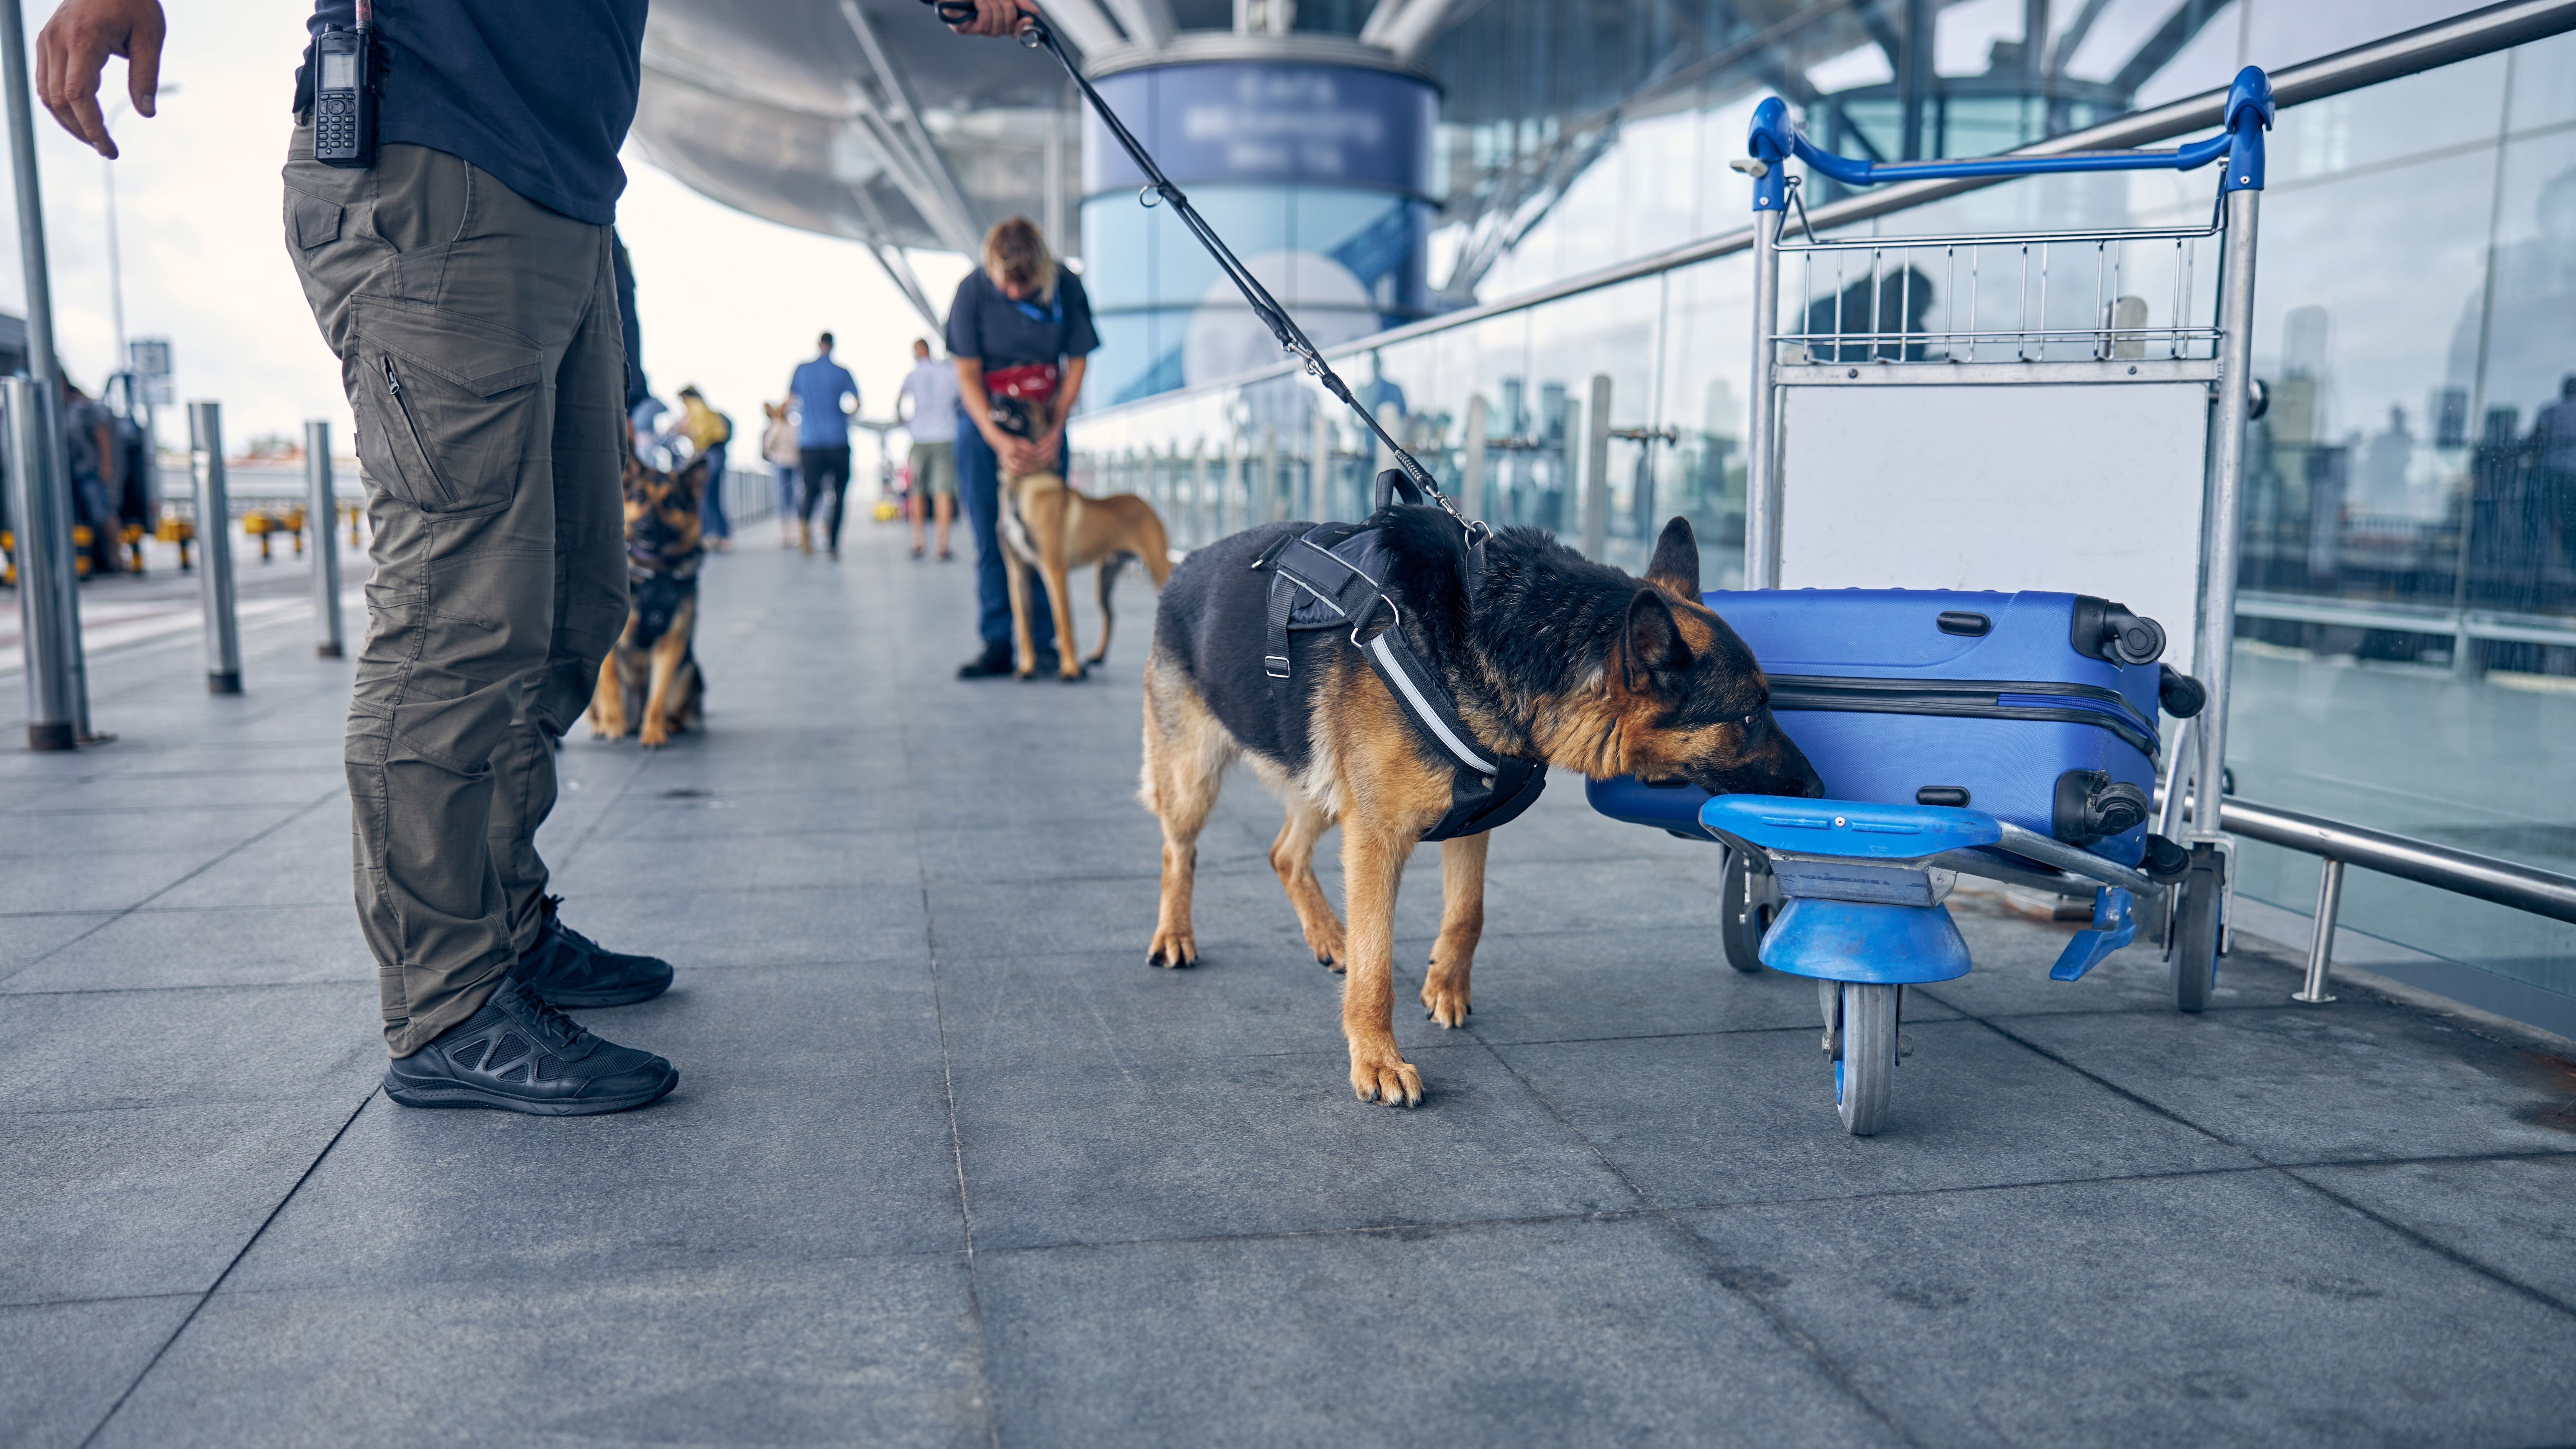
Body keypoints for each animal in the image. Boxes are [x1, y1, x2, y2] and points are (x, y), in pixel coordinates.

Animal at [585, 451, 706, 743]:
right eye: (639, 497)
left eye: (671, 501)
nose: (648, 528)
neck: (655, 574)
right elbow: (611, 681)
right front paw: (613, 723)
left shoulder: (671, 644)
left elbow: (658, 695)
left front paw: (653, 733)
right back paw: (602, 724)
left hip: (690, 671)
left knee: (677, 707)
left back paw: (669, 725)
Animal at [999, 469, 1175, 680]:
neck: (1022, 484)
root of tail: (1142, 501)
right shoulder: (1017, 574)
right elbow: (1023, 626)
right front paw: (1026, 667)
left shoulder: (1055, 570)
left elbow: (1064, 623)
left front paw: (1070, 670)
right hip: (1103, 582)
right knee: (1110, 615)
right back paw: (1098, 655)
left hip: (1158, 569)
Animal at [1138, 508, 1824, 1103]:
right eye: (1749, 716)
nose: (1818, 790)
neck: (1489, 635)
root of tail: (1187, 564)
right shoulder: (1376, 839)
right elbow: (1377, 966)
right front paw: (1378, 1060)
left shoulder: (1470, 821)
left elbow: (1469, 912)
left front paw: (1445, 985)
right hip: (1198, 778)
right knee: (1179, 851)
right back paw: (1175, 934)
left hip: (1320, 782)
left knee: (1284, 854)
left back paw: (1330, 937)